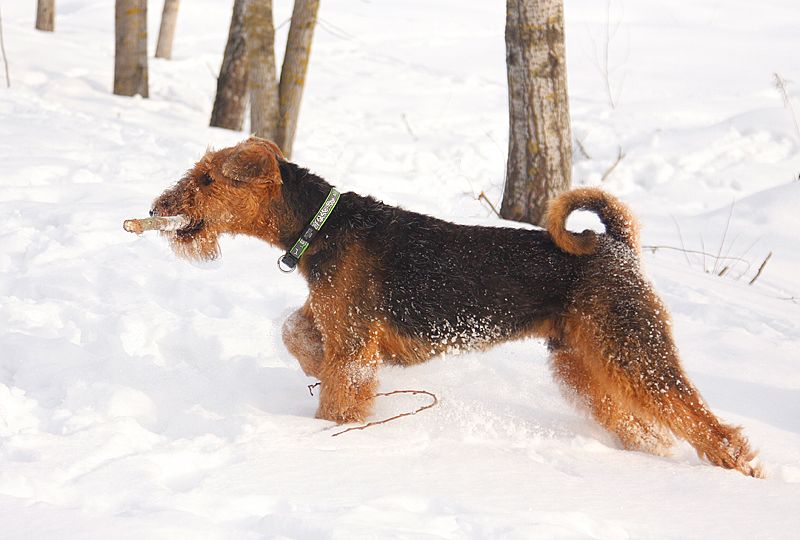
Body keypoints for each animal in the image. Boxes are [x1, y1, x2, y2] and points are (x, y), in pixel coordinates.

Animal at [150, 136, 764, 476]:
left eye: (206, 178)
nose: (158, 206)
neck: (320, 226)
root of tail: (616, 245)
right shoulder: (335, 319)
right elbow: (295, 332)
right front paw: (314, 369)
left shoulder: (352, 334)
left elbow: (339, 387)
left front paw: (330, 430)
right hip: (584, 360)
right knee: (642, 421)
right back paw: (654, 453)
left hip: (632, 349)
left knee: (705, 421)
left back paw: (741, 469)